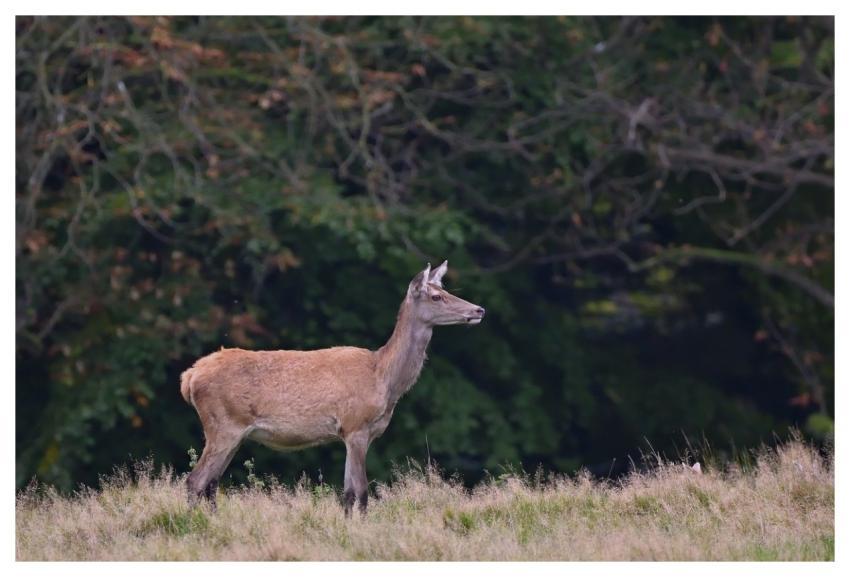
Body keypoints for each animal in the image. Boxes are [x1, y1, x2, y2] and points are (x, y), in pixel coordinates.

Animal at [180, 260, 485, 516]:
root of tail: (190, 377)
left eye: (445, 290)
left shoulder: (355, 433)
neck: (384, 379)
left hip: (235, 432)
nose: (478, 310)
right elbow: (362, 492)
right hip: (224, 424)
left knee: (211, 484)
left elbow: (348, 493)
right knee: (195, 480)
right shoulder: (356, 425)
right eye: (436, 297)